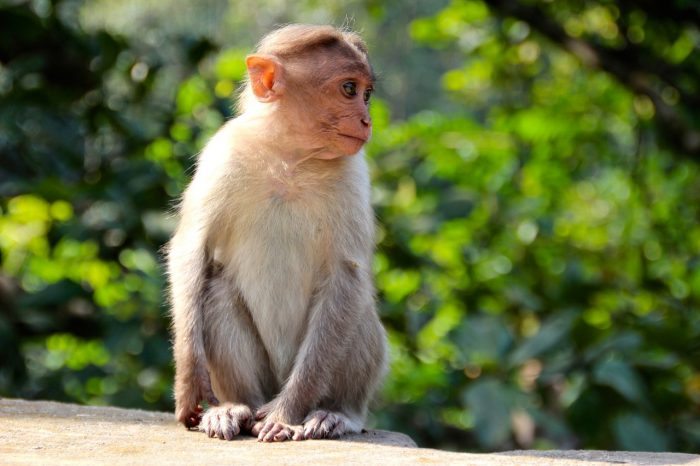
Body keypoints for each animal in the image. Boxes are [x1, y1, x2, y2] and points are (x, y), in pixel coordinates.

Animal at [166, 24, 387, 442]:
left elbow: (346, 275)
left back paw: (334, 413)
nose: (367, 120)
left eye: (367, 94)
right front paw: (189, 378)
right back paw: (236, 407)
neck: (291, 156)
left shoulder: (354, 174)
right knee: (216, 288)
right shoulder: (222, 153)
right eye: (350, 89)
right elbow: (191, 248)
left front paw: (286, 414)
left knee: (355, 305)